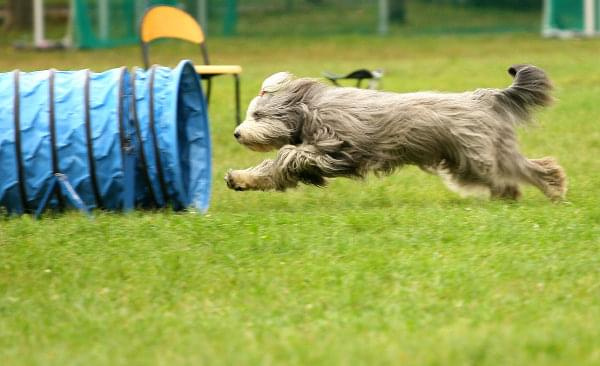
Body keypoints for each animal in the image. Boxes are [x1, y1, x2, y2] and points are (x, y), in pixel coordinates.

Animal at [225, 64, 568, 202]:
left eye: (257, 115)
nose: (237, 134)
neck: (310, 108)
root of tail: (486, 97)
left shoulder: (336, 148)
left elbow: (288, 157)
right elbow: (272, 169)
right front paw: (240, 179)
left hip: (478, 158)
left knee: (523, 172)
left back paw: (548, 190)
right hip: (474, 159)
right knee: (528, 169)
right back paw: (536, 191)